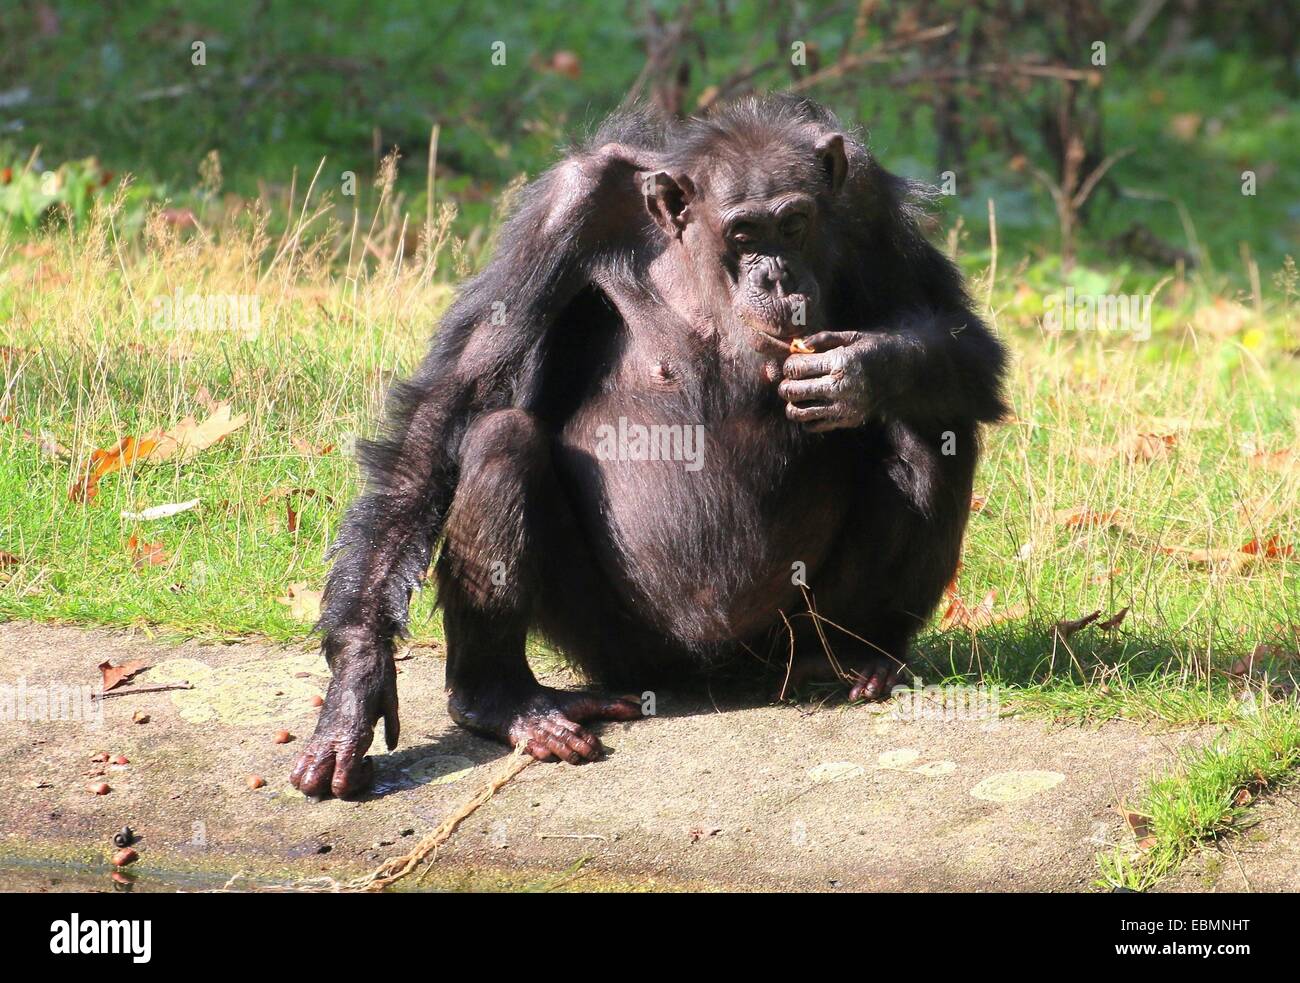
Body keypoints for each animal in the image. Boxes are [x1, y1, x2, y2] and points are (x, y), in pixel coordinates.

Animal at [289, 92, 1008, 800]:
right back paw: (502, 700)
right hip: (619, 646)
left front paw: (857, 370)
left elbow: (965, 339)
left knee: (932, 430)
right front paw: (355, 687)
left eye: (795, 223)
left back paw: (863, 653)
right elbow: (454, 399)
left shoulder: (867, 199)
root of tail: (722, 671)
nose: (776, 277)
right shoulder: (565, 208)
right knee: (500, 437)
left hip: (796, 630)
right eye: (744, 233)